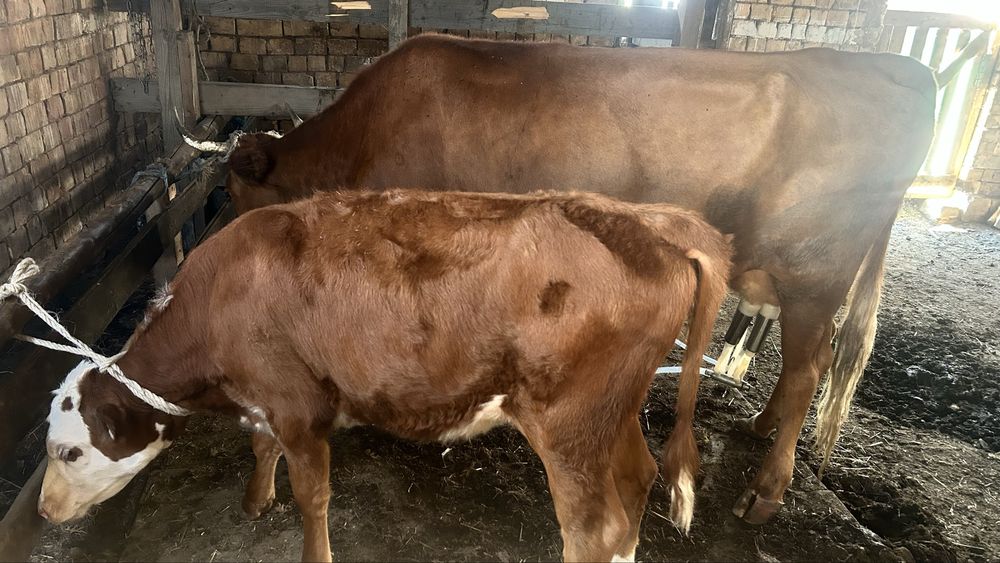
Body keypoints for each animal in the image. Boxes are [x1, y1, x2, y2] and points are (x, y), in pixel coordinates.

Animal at [38, 190, 732, 562]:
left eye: (70, 451)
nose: (43, 510)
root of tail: (652, 223)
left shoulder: (297, 404)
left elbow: (312, 496)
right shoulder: (266, 397)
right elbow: (260, 447)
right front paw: (254, 500)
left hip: (567, 423)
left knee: (594, 529)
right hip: (613, 410)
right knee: (637, 479)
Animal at [211, 34, 937, 523]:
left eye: (235, 199)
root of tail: (897, 65)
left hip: (815, 275)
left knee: (808, 368)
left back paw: (765, 489)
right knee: (803, 367)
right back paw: (761, 425)